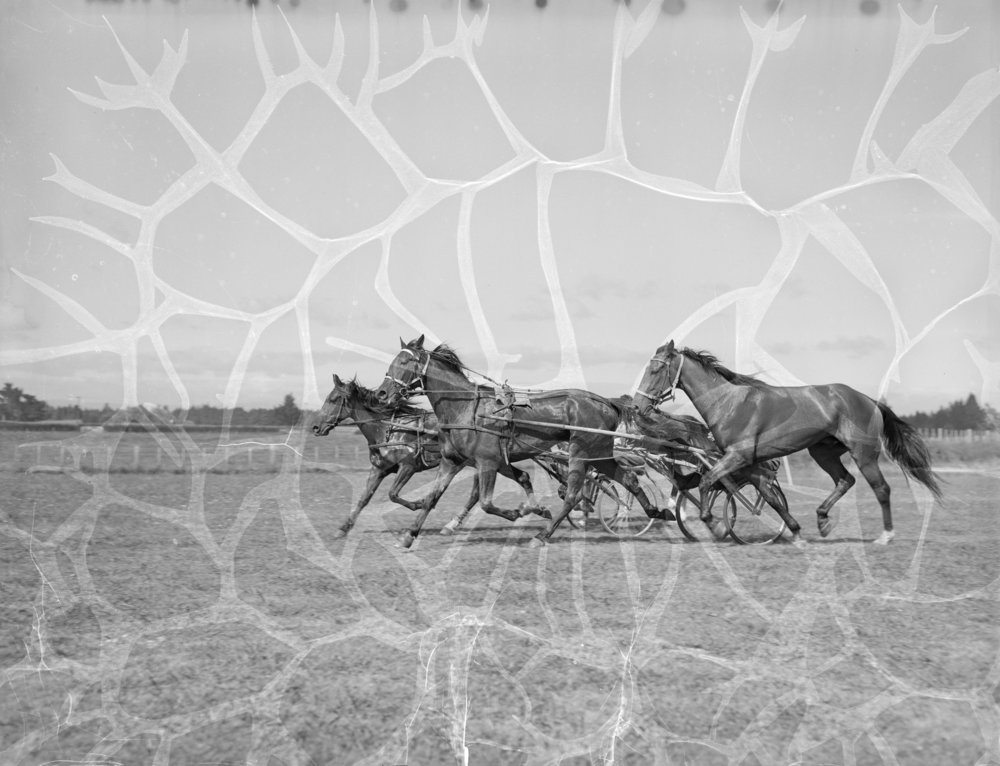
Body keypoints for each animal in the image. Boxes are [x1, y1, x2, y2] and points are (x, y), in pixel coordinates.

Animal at [374, 336, 670, 548]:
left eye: (405, 363)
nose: (382, 394)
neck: (466, 408)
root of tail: (606, 402)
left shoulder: (487, 462)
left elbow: (486, 503)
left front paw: (521, 512)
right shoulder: (452, 461)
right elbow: (432, 497)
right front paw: (410, 535)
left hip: (581, 453)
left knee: (573, 495)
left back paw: (542, 535)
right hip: (600, 454)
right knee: (628, 479)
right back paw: (657, 512)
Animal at [632, 341, 942, 545]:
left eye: (656, 370)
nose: (637, 406)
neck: (729, 404)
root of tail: (869, 400)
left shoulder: (738, 456)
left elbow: (709, 481)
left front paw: (718, 526)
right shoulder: (751, 463)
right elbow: (769, 498)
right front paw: (795, 530)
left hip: (863, 454)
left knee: (881, 488)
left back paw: (885, 535)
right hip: (822, 452)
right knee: (845, 481)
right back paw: (822, 520)